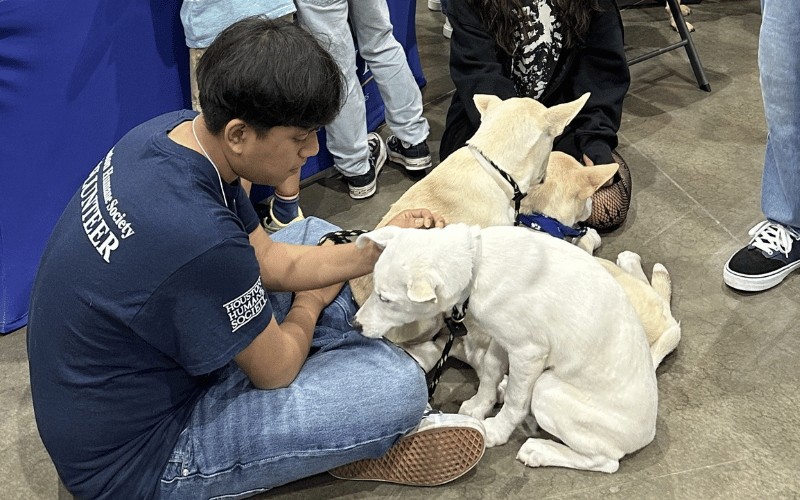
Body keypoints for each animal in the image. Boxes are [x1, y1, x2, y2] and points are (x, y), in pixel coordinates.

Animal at [356, 224, 656, 472]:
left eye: (385, 299)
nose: (355, 324)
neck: (477, 265)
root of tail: (647, 434)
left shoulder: (528, 352)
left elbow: (515, 401)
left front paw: (497, 432)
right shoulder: (503, 338)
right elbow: (490, 370)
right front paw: (481, 404)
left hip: (547, 388)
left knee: (607, 461)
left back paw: (540, 451)